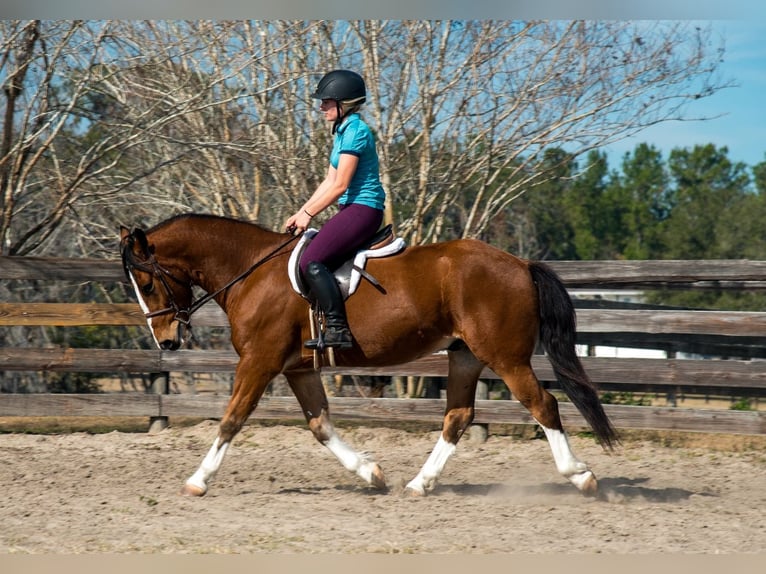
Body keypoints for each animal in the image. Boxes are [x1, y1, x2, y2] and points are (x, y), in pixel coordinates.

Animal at [121, 214, 624, 498]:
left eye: (146, 283)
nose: (166, 341)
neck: (251, 272)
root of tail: (520, 264)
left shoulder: (259, 363)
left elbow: (231, 420)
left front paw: (198, 480)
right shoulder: (298, 369)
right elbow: (320, 426)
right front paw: (371, 473)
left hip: (505, 357)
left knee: (543, 404)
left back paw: (581, 477)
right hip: (465, 355)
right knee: (458, 416)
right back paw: (420, 484)